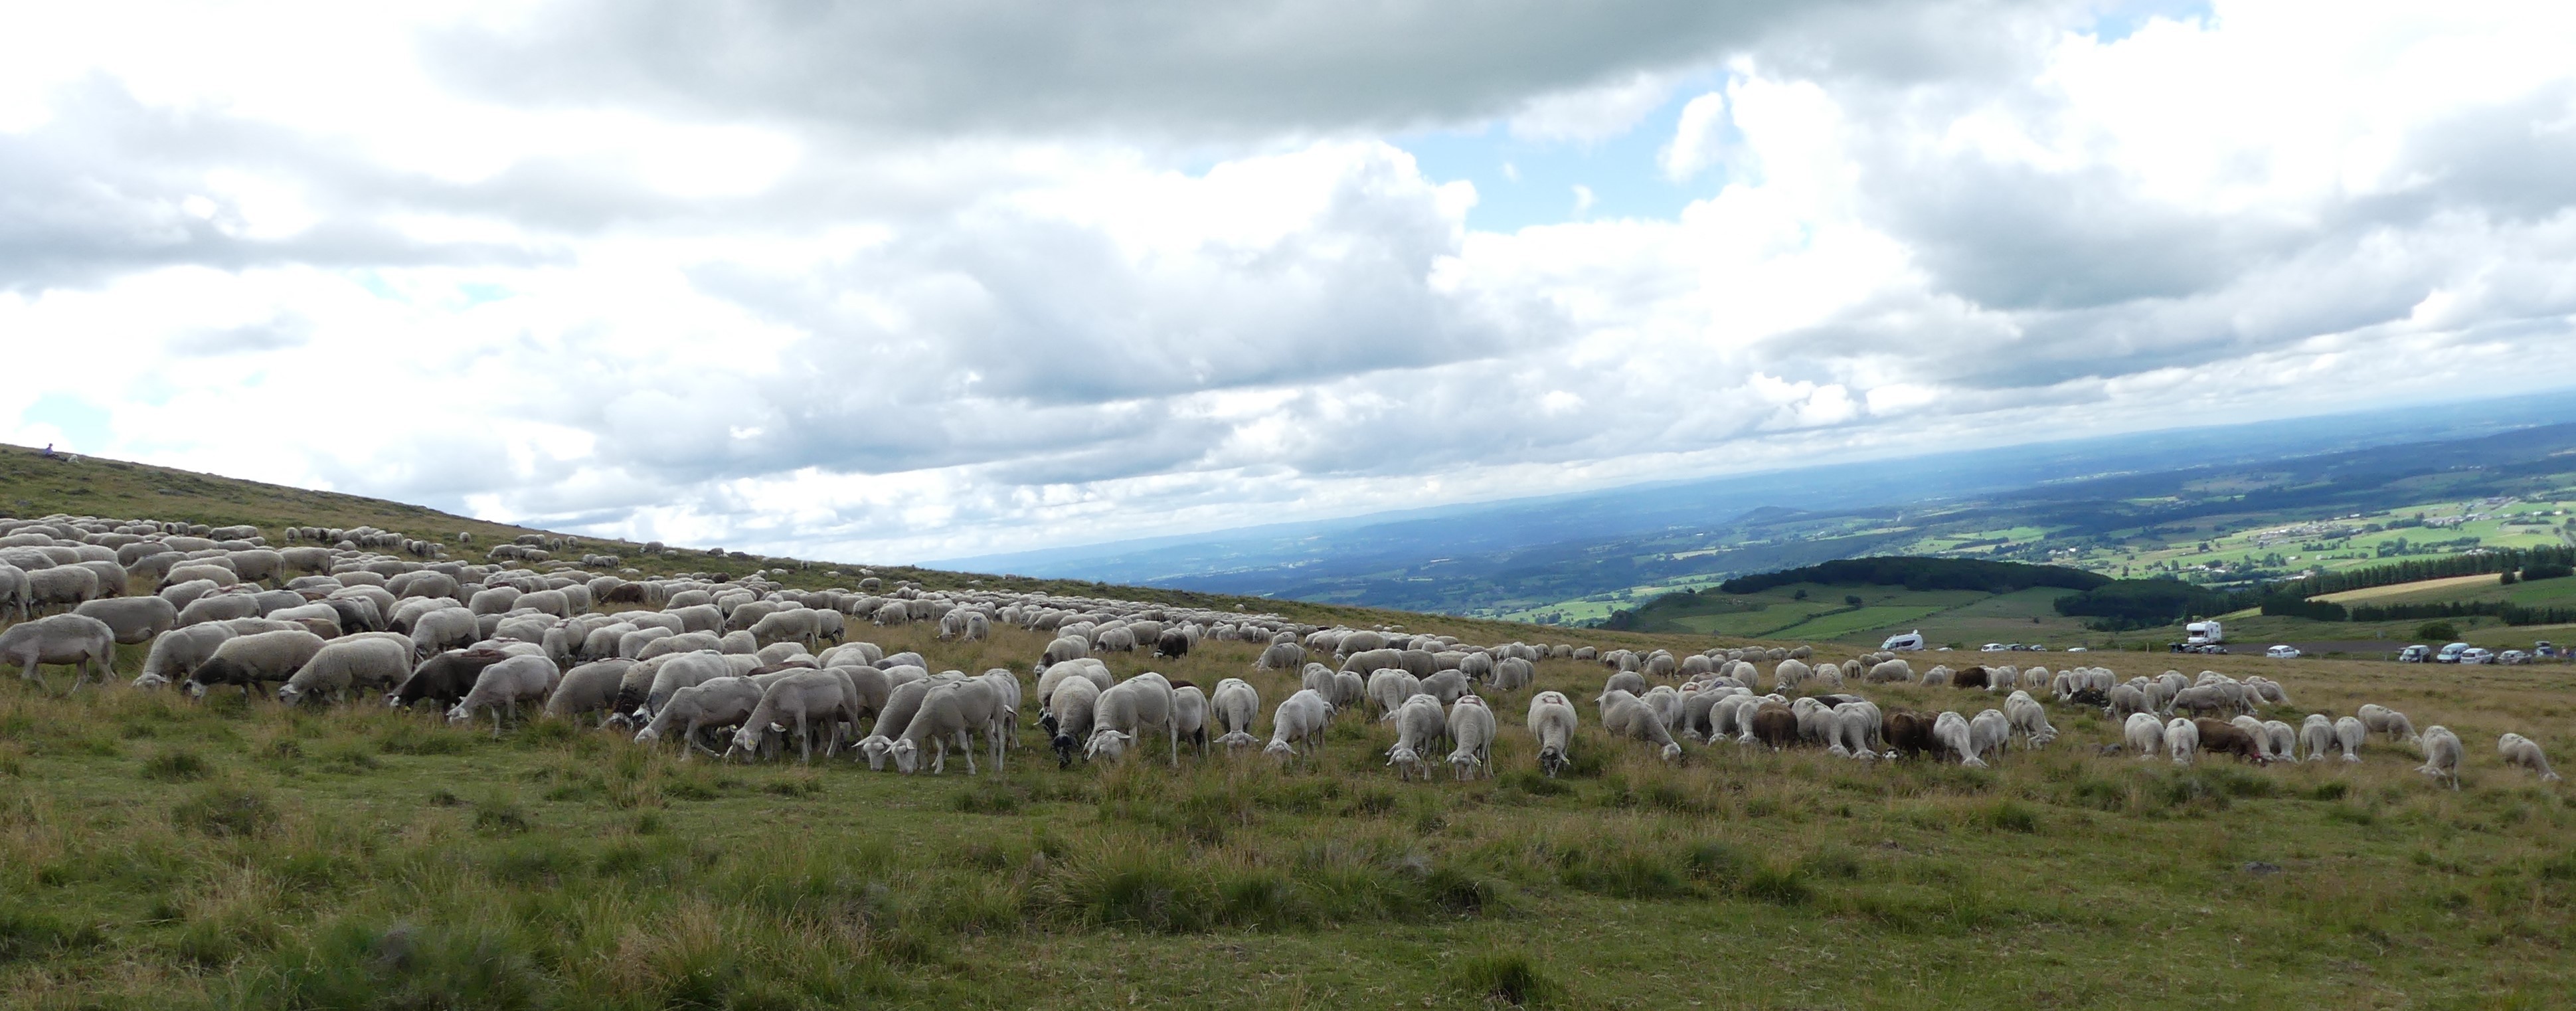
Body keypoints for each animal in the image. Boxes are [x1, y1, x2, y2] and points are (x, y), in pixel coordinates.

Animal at [0, 611, 118, 691]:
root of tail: (109, 631)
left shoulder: (30, 658)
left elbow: (25, 677)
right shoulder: (33, 663)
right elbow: (38, 678)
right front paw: (49, 692)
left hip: (100, 657)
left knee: (111, 677)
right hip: (81, 660)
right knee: (83, 677)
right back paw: (70, 695)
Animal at [187, 626, 327, 701]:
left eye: (193, 692)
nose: (193, 706)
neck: (223, 664)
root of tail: (322, 642)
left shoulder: (253, 675)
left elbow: (263, 692)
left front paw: (268, 701)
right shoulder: (243, 679)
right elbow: (246, 694)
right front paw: (247, 705)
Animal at [448, 655, 558, 732]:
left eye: (459, 722)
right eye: (451, 724)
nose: (457, 735)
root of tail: (549, 660)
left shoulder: (510, 697)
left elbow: (511, 717)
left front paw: (514, 732)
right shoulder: (494, 703)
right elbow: (496, 718)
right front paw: (496, 735)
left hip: (552, 687)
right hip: (539, 694)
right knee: (544, 707)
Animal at [1442, 696, 1504, 784]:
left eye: (1466, 765)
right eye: (1455, 766)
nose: (1461, 780)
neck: (1468, 724)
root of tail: (1469, 696)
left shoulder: (1484, 742)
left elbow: (1482, 759)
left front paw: (1484, 775)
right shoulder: (1458, 740)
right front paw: (1471, 775)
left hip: (1488, 742)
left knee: (1487, 756)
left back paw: (1491, 773)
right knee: (1475, 754)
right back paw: (1475, 771)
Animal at [1525, 691, 1566, 779]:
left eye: (1555, 761)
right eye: (1543, 761)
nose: (1549, 777)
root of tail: (1550, 691)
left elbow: (1564, 753)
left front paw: (1564, 768)